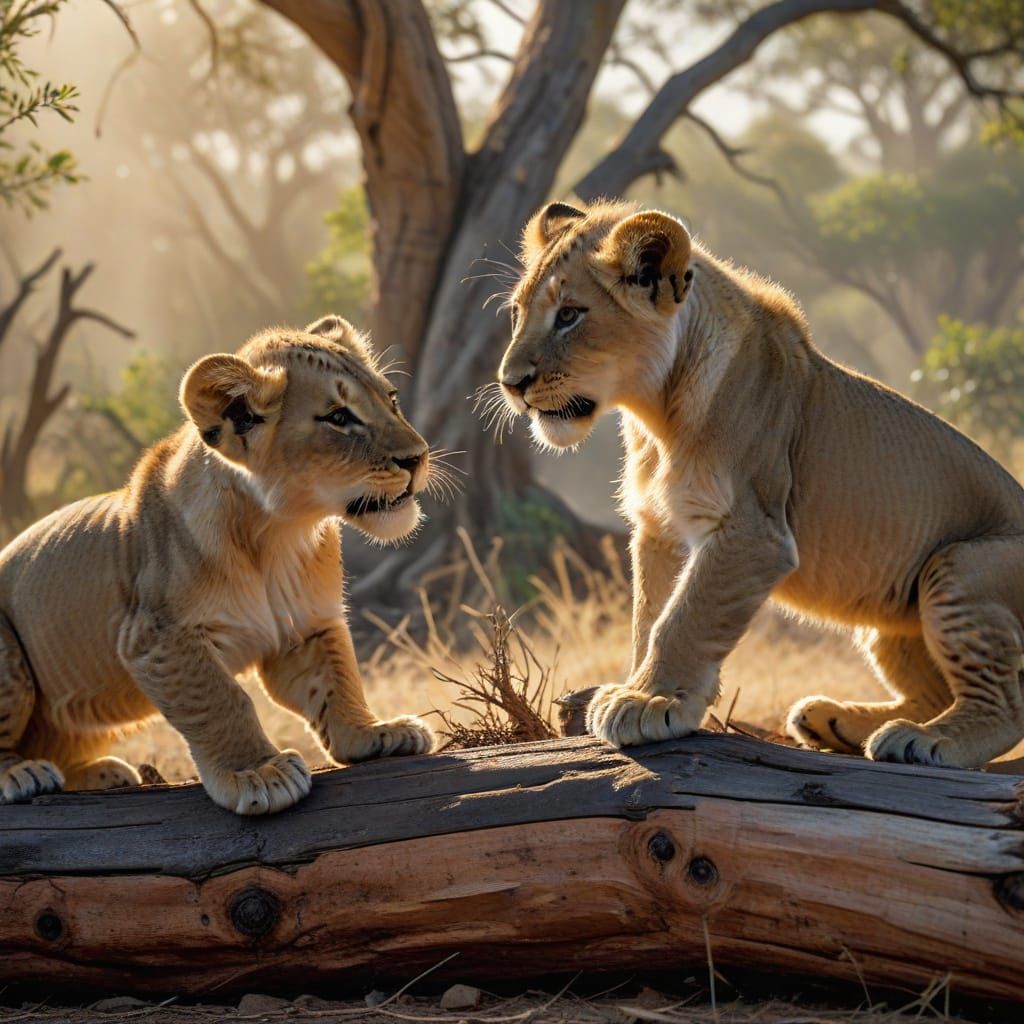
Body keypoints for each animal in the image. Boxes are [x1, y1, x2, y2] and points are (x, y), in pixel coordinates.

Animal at [0, 316, 437, 814]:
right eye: (338, 418)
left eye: (391, 399)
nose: (418, 457)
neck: (278, 535)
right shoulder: (156, 636)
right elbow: (221, 700)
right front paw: (257, 773)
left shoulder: (304, 625)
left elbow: (337, 679)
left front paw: (373, 733)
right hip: (10, 658)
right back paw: (26, 773)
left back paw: (105, 773)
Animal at [497, 198, 1024, 768]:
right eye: (516, 314)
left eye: (569, 314)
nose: (510, 383)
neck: (655, 413)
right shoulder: (661, 528)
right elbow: (650, 615)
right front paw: (648, 690)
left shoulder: (755, 532)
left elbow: (683, 619)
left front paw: (647, 699)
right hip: (886, 609)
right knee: (935, 692)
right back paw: (833, 720)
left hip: (957, 566)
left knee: (1006, 706)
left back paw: (923, 740)